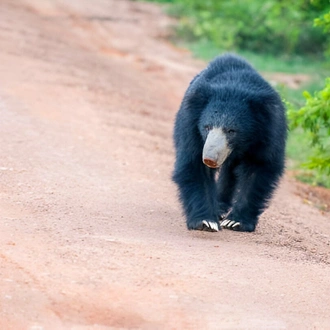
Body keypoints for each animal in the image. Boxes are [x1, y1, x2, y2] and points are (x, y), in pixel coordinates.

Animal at [173, 54, 286, 232]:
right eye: (207, 127)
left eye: (231, 131)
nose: (210, 158)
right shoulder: (190, 124)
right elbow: (194, 163)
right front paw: (206, 221)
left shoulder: (269, 131)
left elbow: (259, 168)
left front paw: (236, 222)